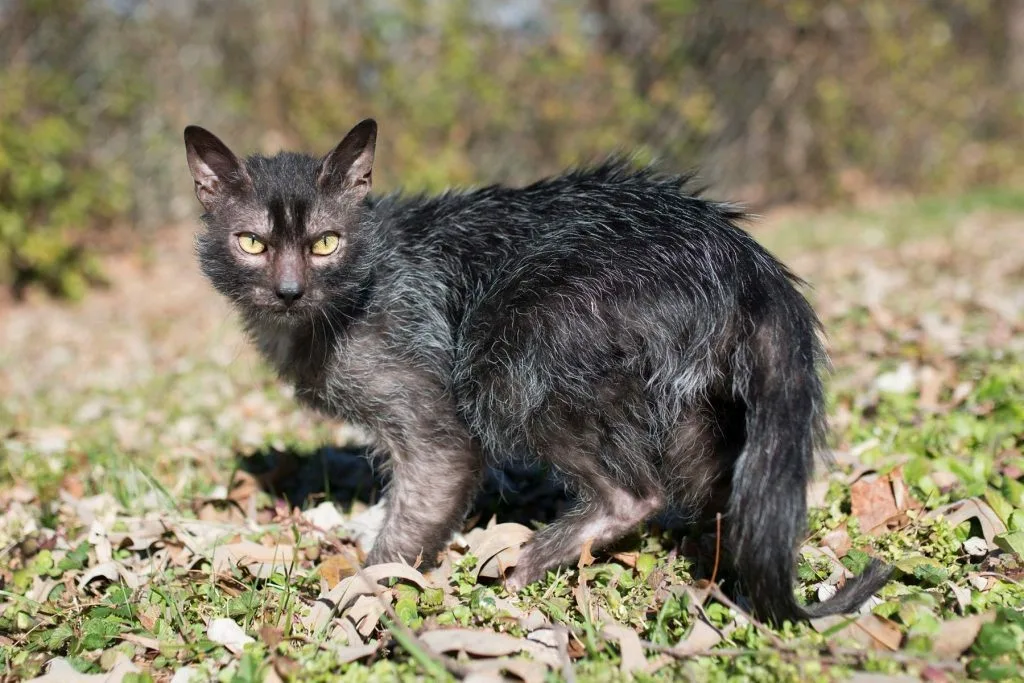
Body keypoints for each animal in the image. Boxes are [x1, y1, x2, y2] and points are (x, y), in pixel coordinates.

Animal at [182, 118, 888, 626]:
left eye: (326, 242)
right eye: (251, 243)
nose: (289, 290)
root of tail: (743, 257)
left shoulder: (436, 427)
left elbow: (411, 521)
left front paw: (353, 602)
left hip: (511, 356)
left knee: (634, 493)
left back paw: (532, 564)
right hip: (691, 406)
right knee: (712, 490)